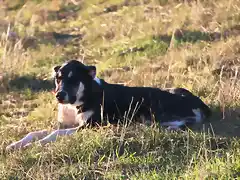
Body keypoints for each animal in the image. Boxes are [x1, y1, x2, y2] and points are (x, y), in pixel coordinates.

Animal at [5, 59, 212, 150]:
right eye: (58, 79)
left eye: (74, 80)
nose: (59, 96)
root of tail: (199, 102)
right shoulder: (66, 124)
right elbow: (35, 132)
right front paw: (15, 144)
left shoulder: (89, 126)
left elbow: (53, 134)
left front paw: (39, 144)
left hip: (152, 106)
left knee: (185, 122)